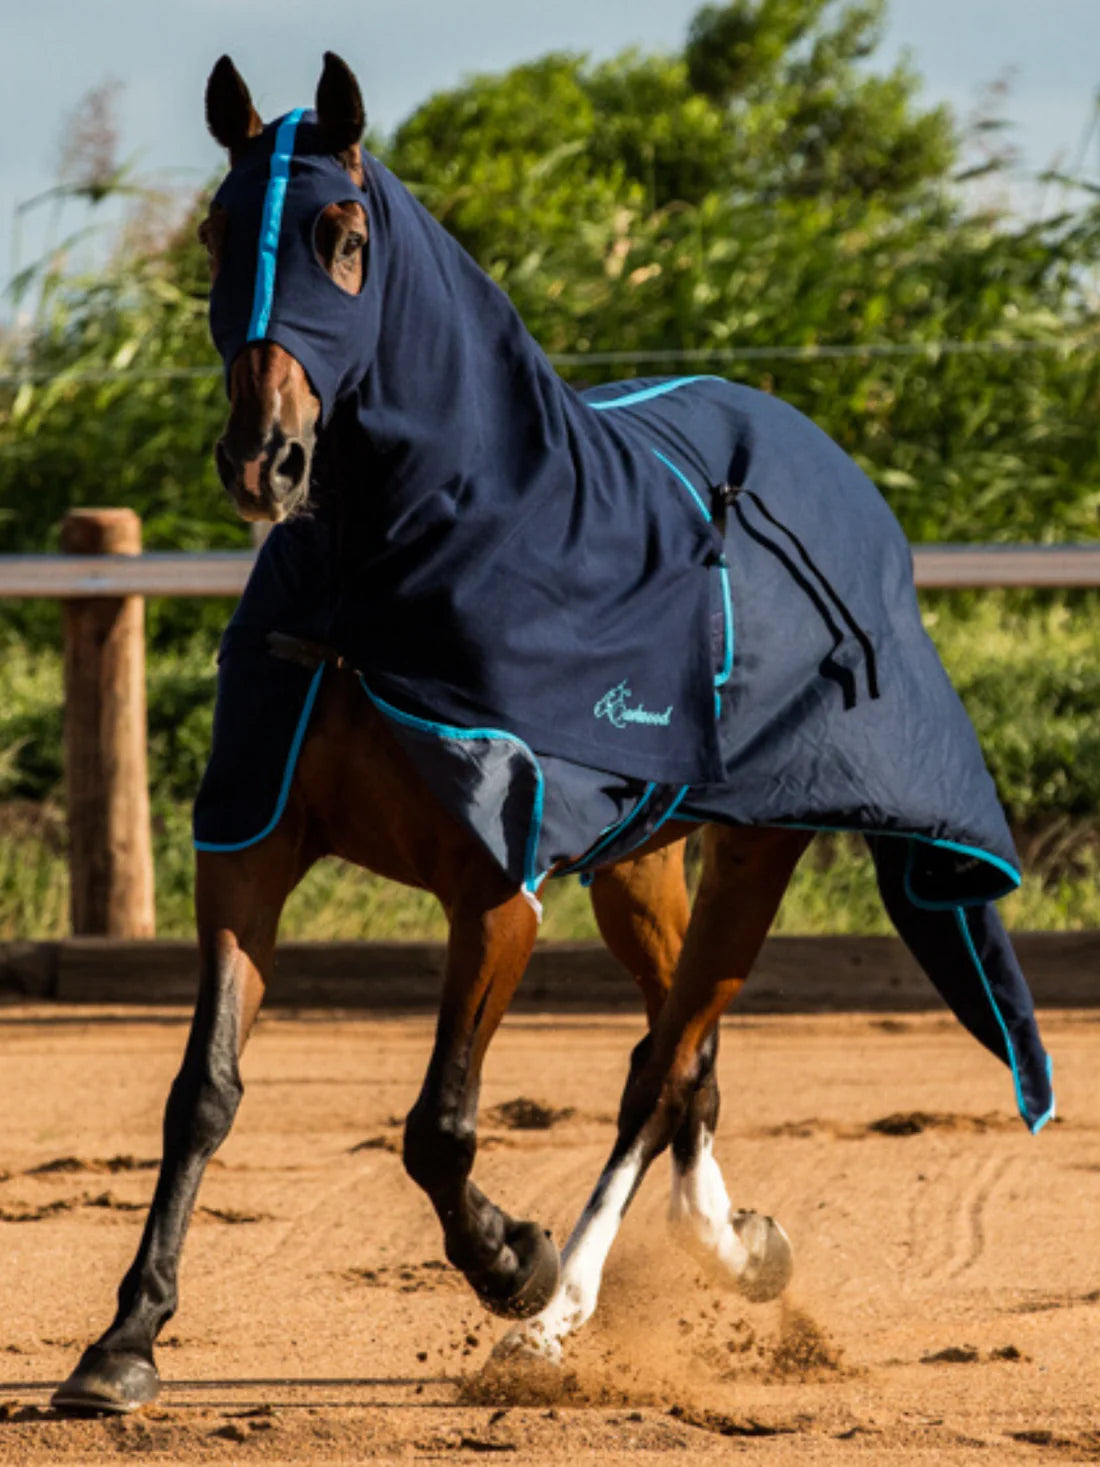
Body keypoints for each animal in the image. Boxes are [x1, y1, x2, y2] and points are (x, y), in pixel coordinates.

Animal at [52, 53, 1053, 1415]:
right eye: (216, 234)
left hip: (758, 846)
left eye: (343, 237)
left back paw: (560, 1310)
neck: (385, 593)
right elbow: (201, 1092)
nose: (266, 461)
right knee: (684, 1057)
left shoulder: (497, 889)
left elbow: (438, 1129)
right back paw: (736, 1251)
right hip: (643, 862)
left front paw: (510, 1263)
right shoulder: (250, 846)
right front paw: (124, 1341)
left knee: (659, 1065)